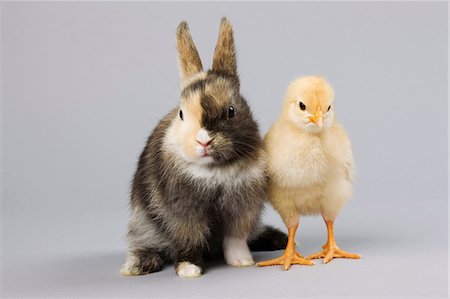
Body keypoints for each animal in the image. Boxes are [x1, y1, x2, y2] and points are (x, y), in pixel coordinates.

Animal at [119, 17, 286, 278]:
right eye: (181, 114)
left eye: (231, 111)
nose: (204, 140)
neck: (215, 170)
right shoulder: (184, 212)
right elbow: (188, 238)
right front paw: (189, 269)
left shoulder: (242, 210)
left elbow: (235, 239)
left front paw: (242, 261)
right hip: (142, 223)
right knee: (143, 244)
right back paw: (138, 265)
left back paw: (277, 239)